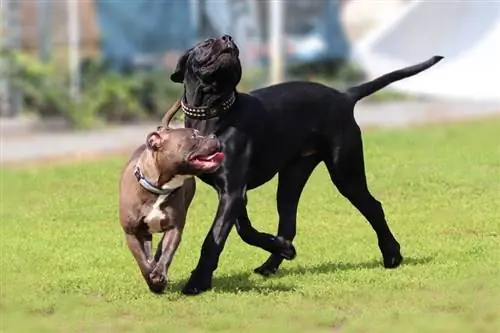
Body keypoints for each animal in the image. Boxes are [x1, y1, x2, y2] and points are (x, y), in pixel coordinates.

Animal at [118, 126, 224, 292]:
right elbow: (142, 260)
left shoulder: (174, 228)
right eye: (193, 136)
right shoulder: (132, 233)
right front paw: (152, 281)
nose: (213, 135)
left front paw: (159, 275)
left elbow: (167, 252)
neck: (158, 189)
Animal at [170, 34, 444, 294]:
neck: (215, 113)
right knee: (288, 225)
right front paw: (283, 248)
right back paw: (272, 262)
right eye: (207, 43)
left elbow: (215, 237)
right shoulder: (231, 192)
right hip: (292, 179)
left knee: (373, 207)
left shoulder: (234, 190)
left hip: (345, 172)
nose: (228, 38)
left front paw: (198, 282)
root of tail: (344, 96)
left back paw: (392, 254)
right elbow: (243, 230)